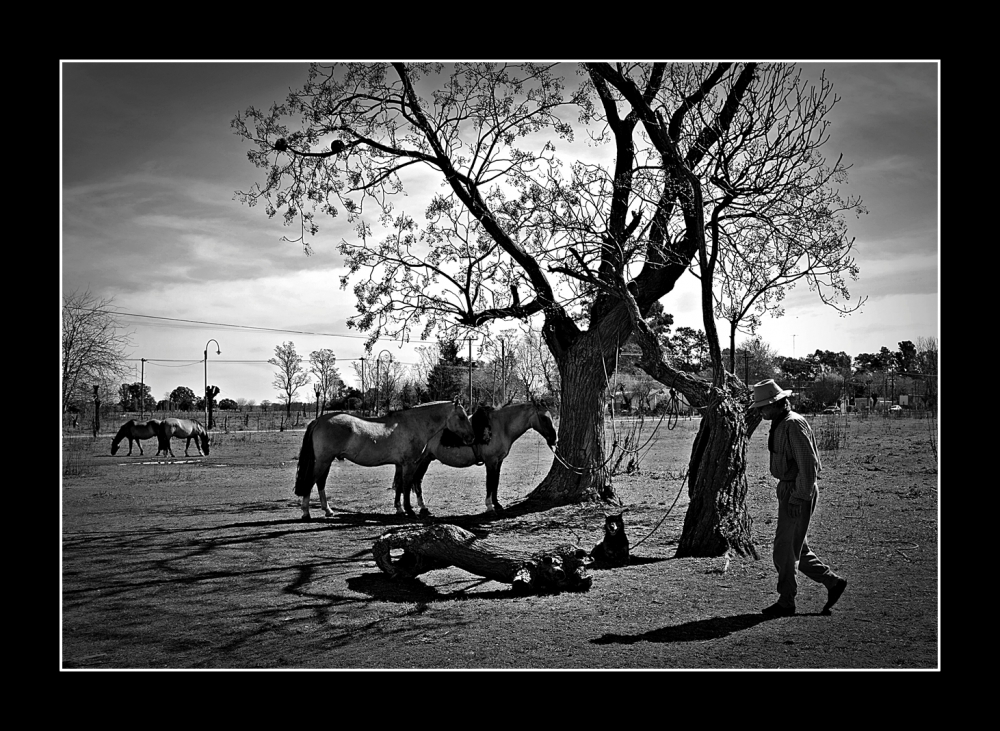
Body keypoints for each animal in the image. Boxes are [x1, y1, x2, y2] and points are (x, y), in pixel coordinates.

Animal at [294, 400, 474, 520]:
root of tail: (319, 420)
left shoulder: (400, 465)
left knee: (320, 482)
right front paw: (409, 510)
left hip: (326, 461)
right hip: (324, 461)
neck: (413, 424)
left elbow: (399, 486)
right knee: (312, 481)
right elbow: (407, 486)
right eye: (461, 416)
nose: (470, 438)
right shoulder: (409, 464)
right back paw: (306, 512)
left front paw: (399, 509)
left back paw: (328, 510)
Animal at [410, 400, 560, 516]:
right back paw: (422, 507)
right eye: (544, 418)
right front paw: (489, 507)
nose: (554, 439)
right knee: (417, 480)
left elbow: (495, 483)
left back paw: (422, 508)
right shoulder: (490, 461)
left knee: (417, 480)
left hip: (426, 460)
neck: (501, 427)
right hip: (422, 460)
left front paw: (497, 504)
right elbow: (489, 483)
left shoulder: (498, 461)